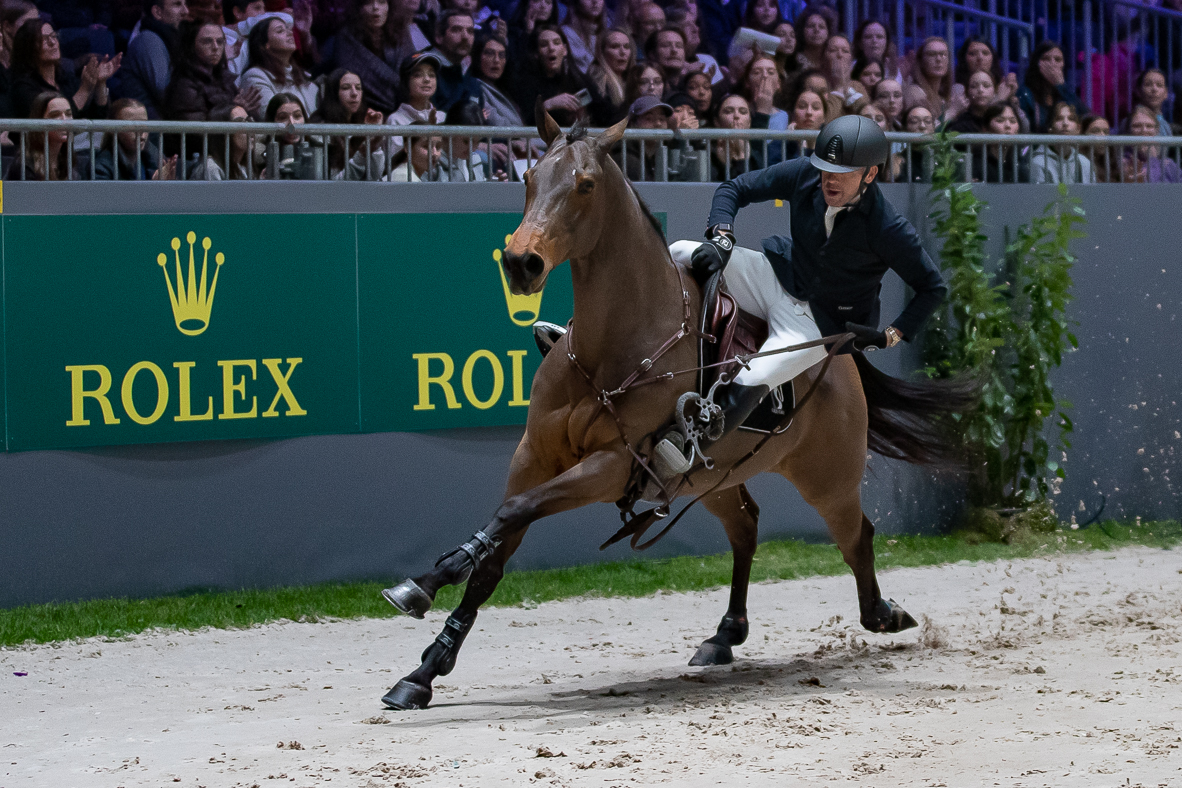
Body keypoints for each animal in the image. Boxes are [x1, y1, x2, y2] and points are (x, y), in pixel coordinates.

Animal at [379, 108, 972, 711]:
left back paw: (884, 614)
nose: (522, 262)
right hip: (713, 480)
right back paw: (726, 634)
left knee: (857, 538)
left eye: (584, 185)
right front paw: (424, 668)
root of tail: (841, 351)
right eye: (528, 179)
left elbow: (512, 513)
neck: (615, 345)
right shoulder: (534, 457)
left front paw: (431, 579)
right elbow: (497, 549)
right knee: (747, 528)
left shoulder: (611, 466)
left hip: (827, 481)